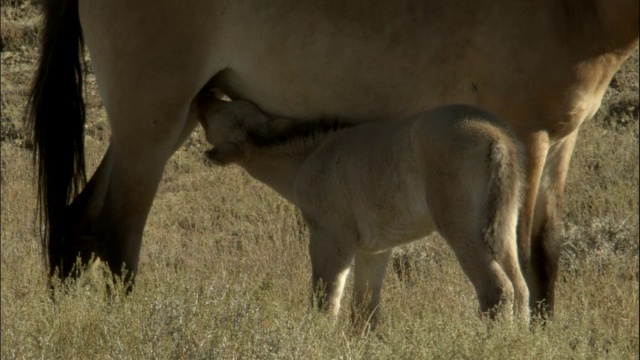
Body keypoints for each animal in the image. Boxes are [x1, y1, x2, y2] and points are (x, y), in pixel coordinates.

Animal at [198, 94, 528, 328]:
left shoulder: (330, 239)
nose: (204, 96)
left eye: (222, 113)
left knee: (497, 290)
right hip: (502, 228)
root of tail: (497, 138)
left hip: (460, 228)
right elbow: (363, 312)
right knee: (521, 289)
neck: (308, 158)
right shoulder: (374, 250)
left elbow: (325, 304)